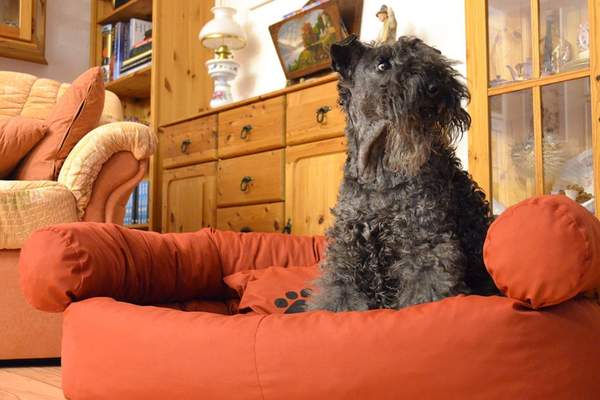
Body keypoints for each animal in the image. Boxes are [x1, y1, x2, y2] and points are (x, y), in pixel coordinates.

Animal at [308, 36, 500, 312]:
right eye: (382, 64)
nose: (435, 85)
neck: (378, 172)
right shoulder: (348, 250)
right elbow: (339, 292)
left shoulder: (424, 241)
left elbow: (425, 288)